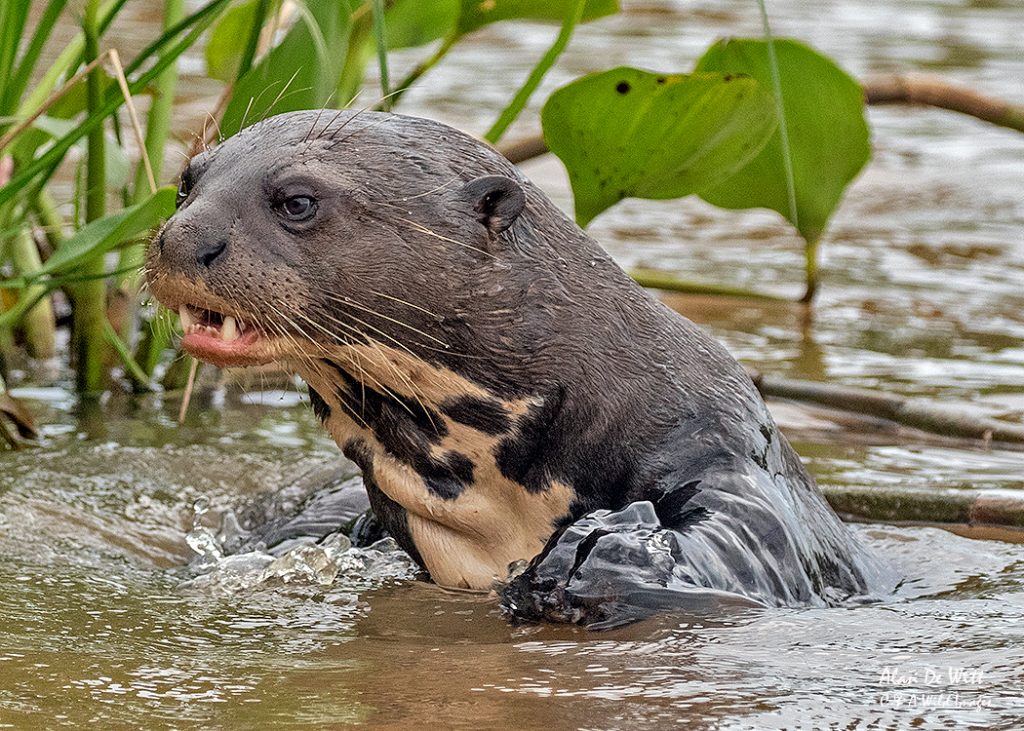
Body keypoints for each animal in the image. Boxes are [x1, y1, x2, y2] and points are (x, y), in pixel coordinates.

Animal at [147, 109, 893, 626]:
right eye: (185, 185)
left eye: (297, 200)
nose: (181, 238)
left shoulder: (718, 442)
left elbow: (752, 543)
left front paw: (597, 559)